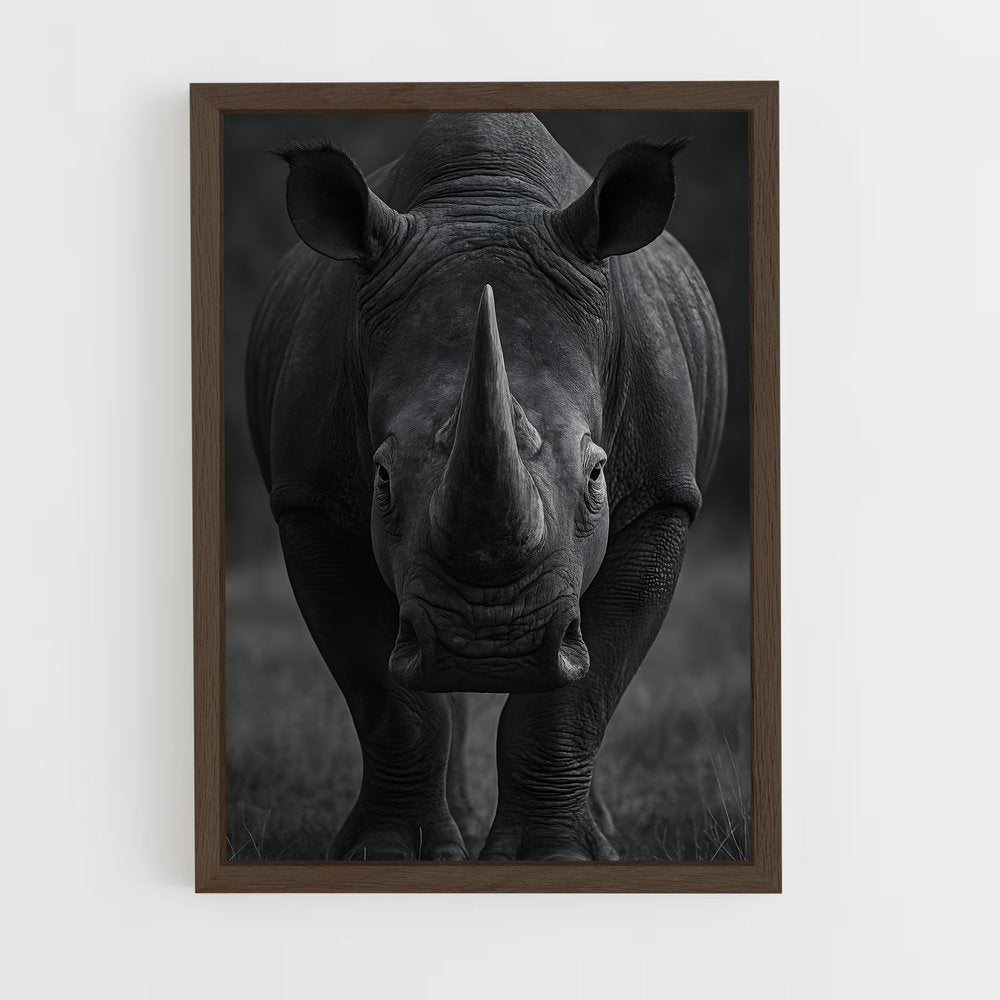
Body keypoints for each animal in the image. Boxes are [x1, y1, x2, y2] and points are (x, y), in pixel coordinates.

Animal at [246, 113, 726, 860]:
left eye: (598, 474)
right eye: (381, 478)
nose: (490, 648)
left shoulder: (661, 500)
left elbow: (579, 696)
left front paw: (554, 857)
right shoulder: (309, 505)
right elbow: (388, 699)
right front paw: (389, 853)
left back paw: (601, 835)